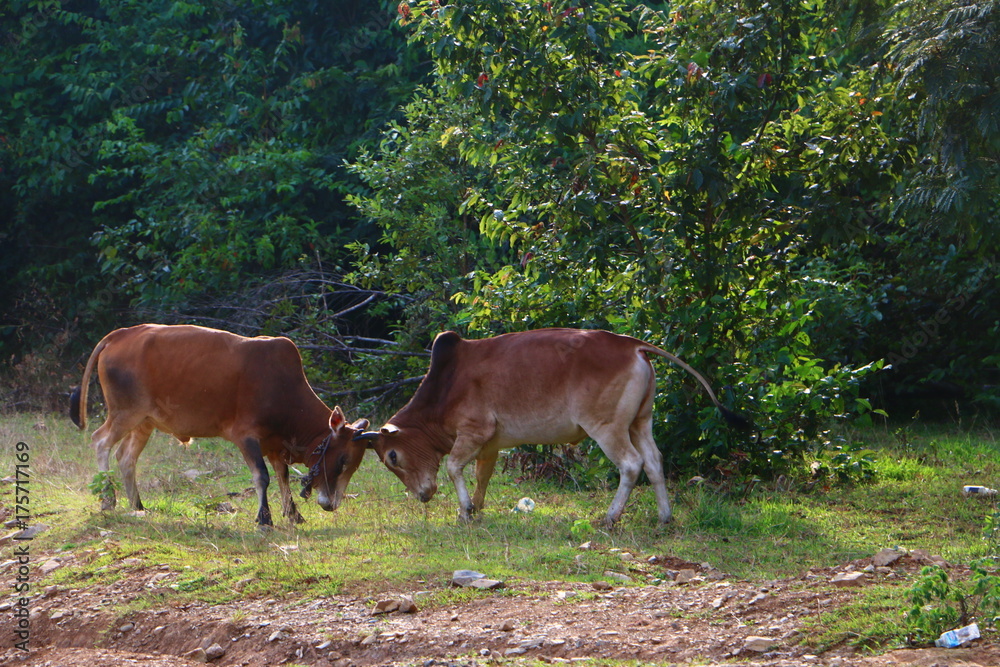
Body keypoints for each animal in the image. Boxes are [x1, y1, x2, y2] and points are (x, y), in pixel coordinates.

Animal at [69, 324, 370, 527]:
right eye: (342, 460)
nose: (331, 504)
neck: (284, 388)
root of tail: (120, 334)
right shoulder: (245, 436)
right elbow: (262, 476)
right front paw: (265, 518)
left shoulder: (274, 444)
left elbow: (282, 475)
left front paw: (293, 514)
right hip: (125, 413)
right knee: (100, 441)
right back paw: (108, 500)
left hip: (144, 421)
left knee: (126, 457)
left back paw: (137, 505)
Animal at [355, 328, 745, 526]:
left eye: (392, 456)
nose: (423, 495)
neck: (446, 383)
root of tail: (632, 345)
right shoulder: (490, 444)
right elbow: (482, 475)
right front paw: (476, 508)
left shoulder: (473, 431)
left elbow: (452, 467)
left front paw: (464, 511)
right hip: (640, 421)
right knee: (654, 461)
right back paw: (664, 517)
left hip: (606, 427)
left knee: (631, 465)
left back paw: (609, 518)